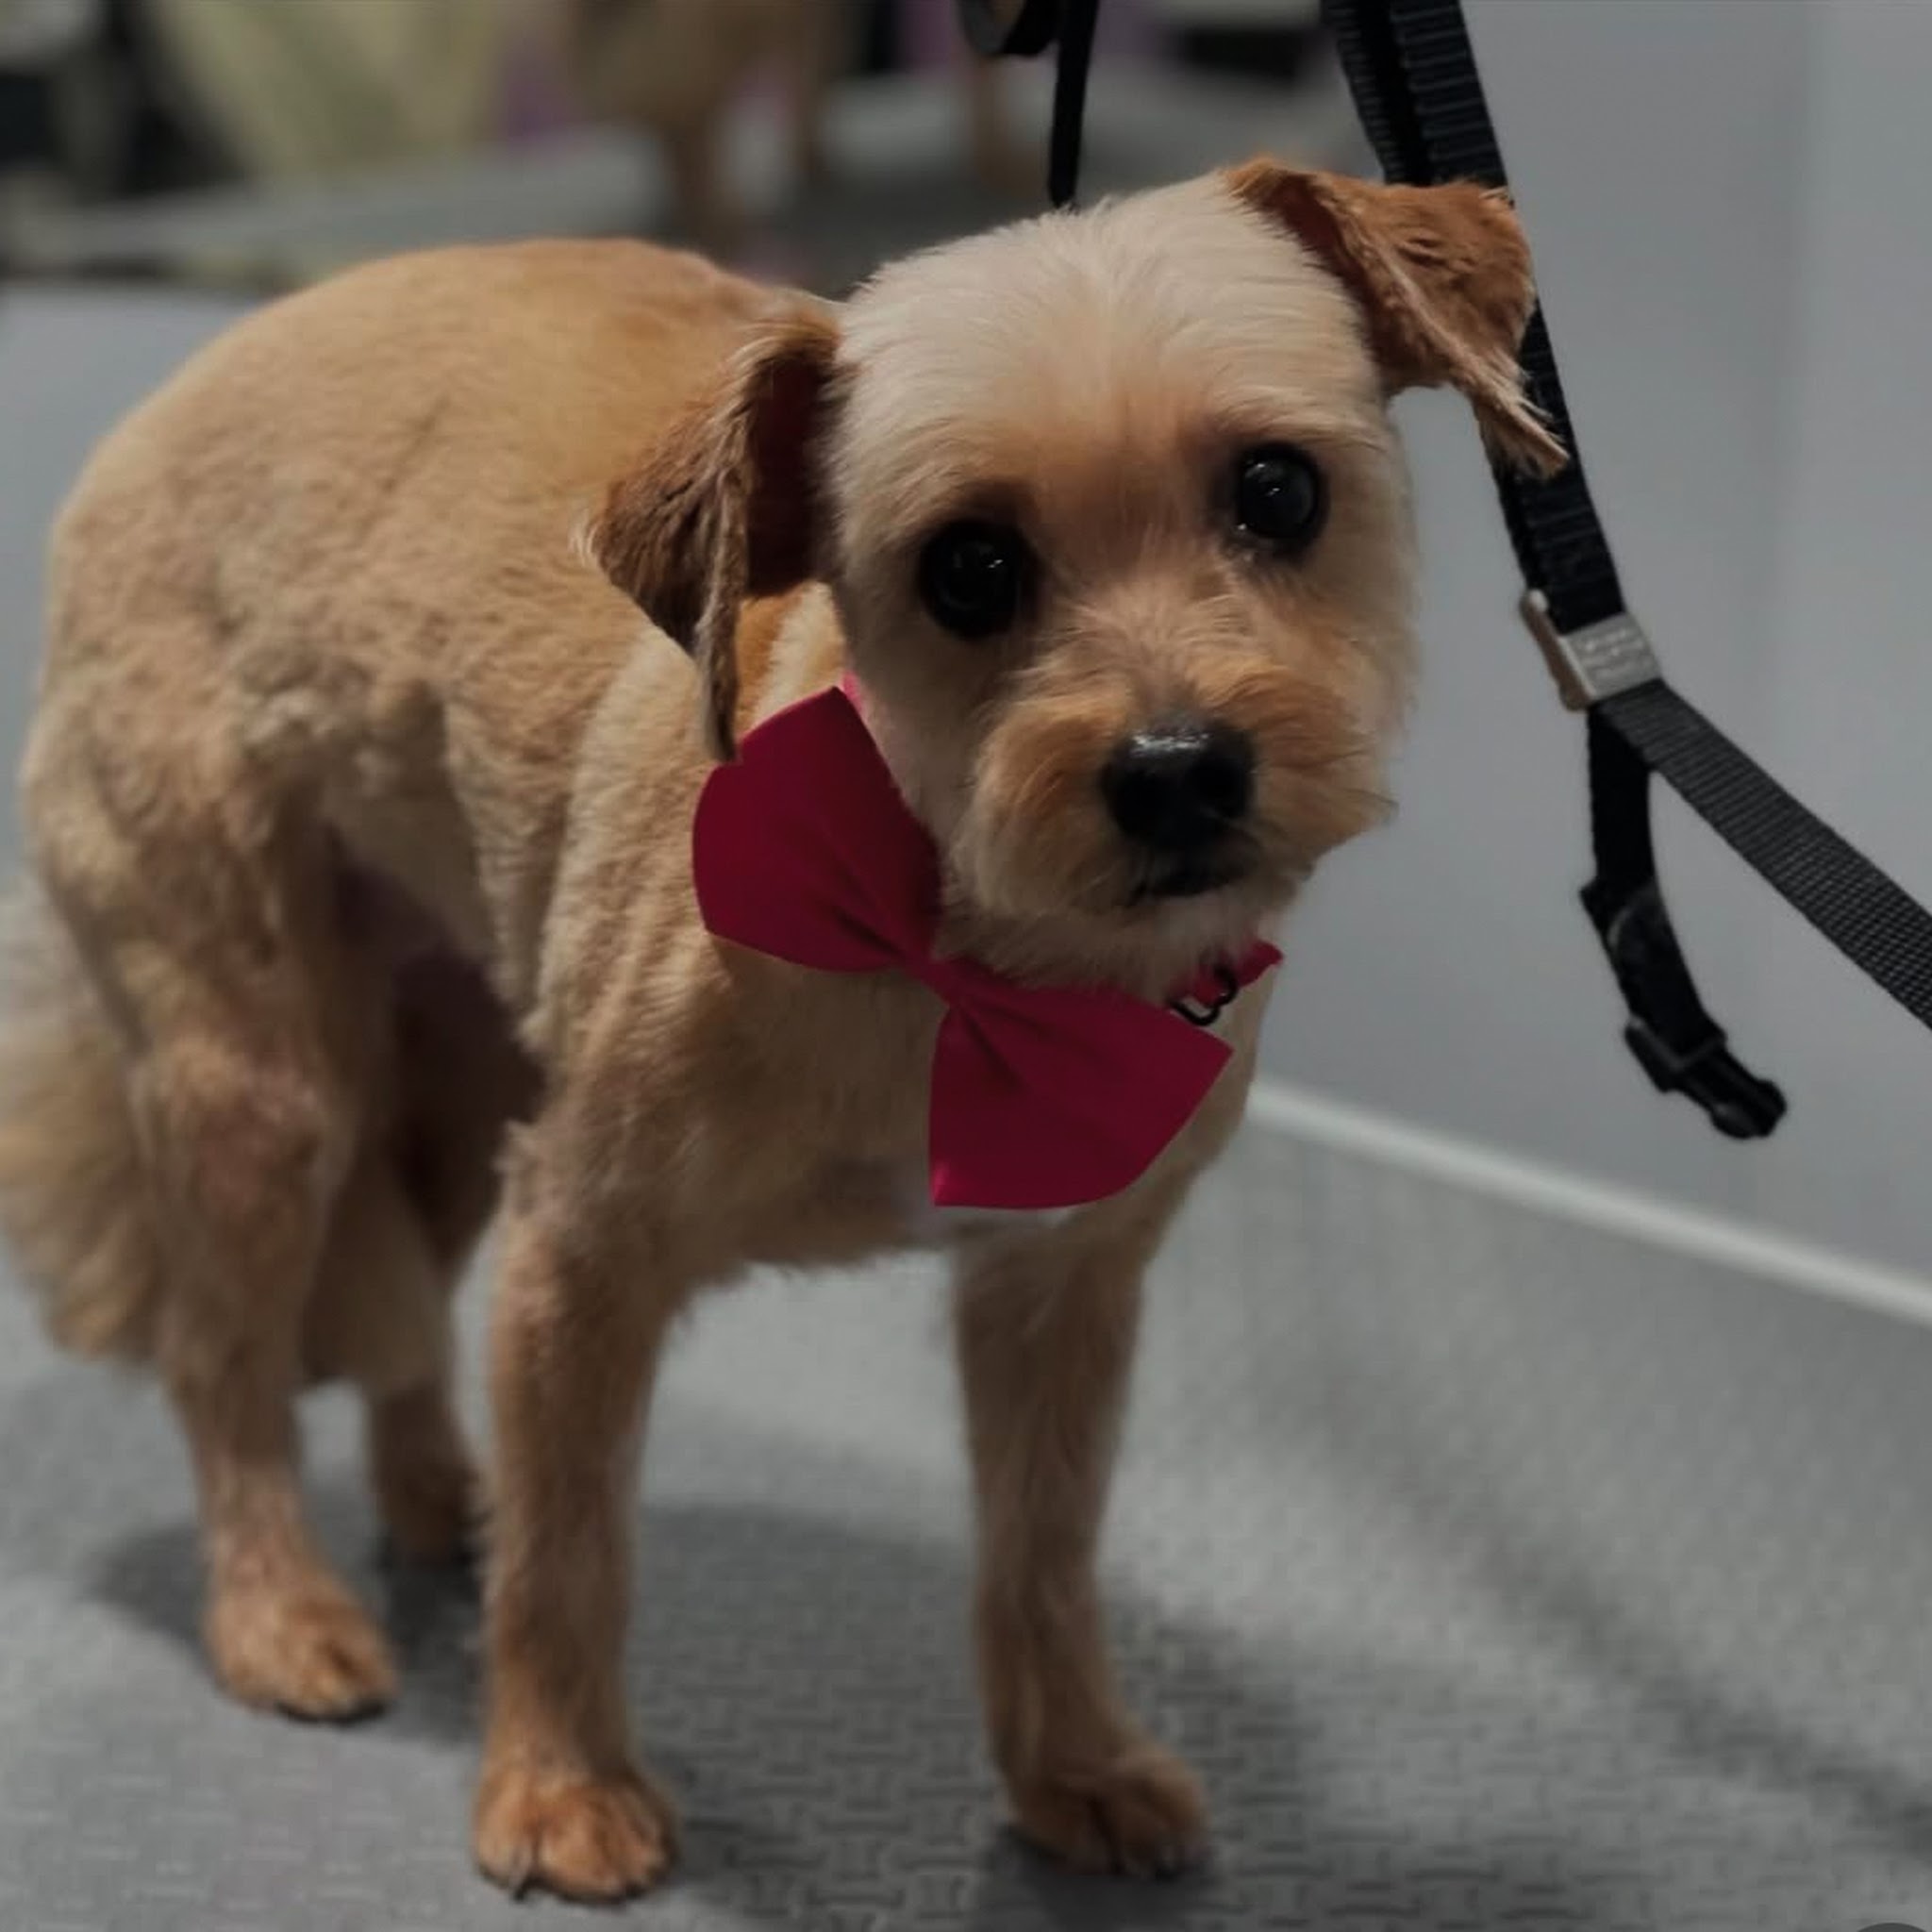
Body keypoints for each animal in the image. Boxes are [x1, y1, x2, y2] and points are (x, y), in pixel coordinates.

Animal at [0, 160, 1558, 1902]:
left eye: (1277, 491)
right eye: (967, 568)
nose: (1176, 772)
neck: (960, 943)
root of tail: (168, 397)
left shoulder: (1059, 1283)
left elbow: (1043, 1544)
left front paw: (1072, 1762)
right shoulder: (579, 1255)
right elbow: (573, 1555)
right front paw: (559, 1786)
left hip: (454, 1071)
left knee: (403, 1311)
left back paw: (433, 1492)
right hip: (257, 1081)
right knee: (226, 1361)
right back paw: (280, 1611)